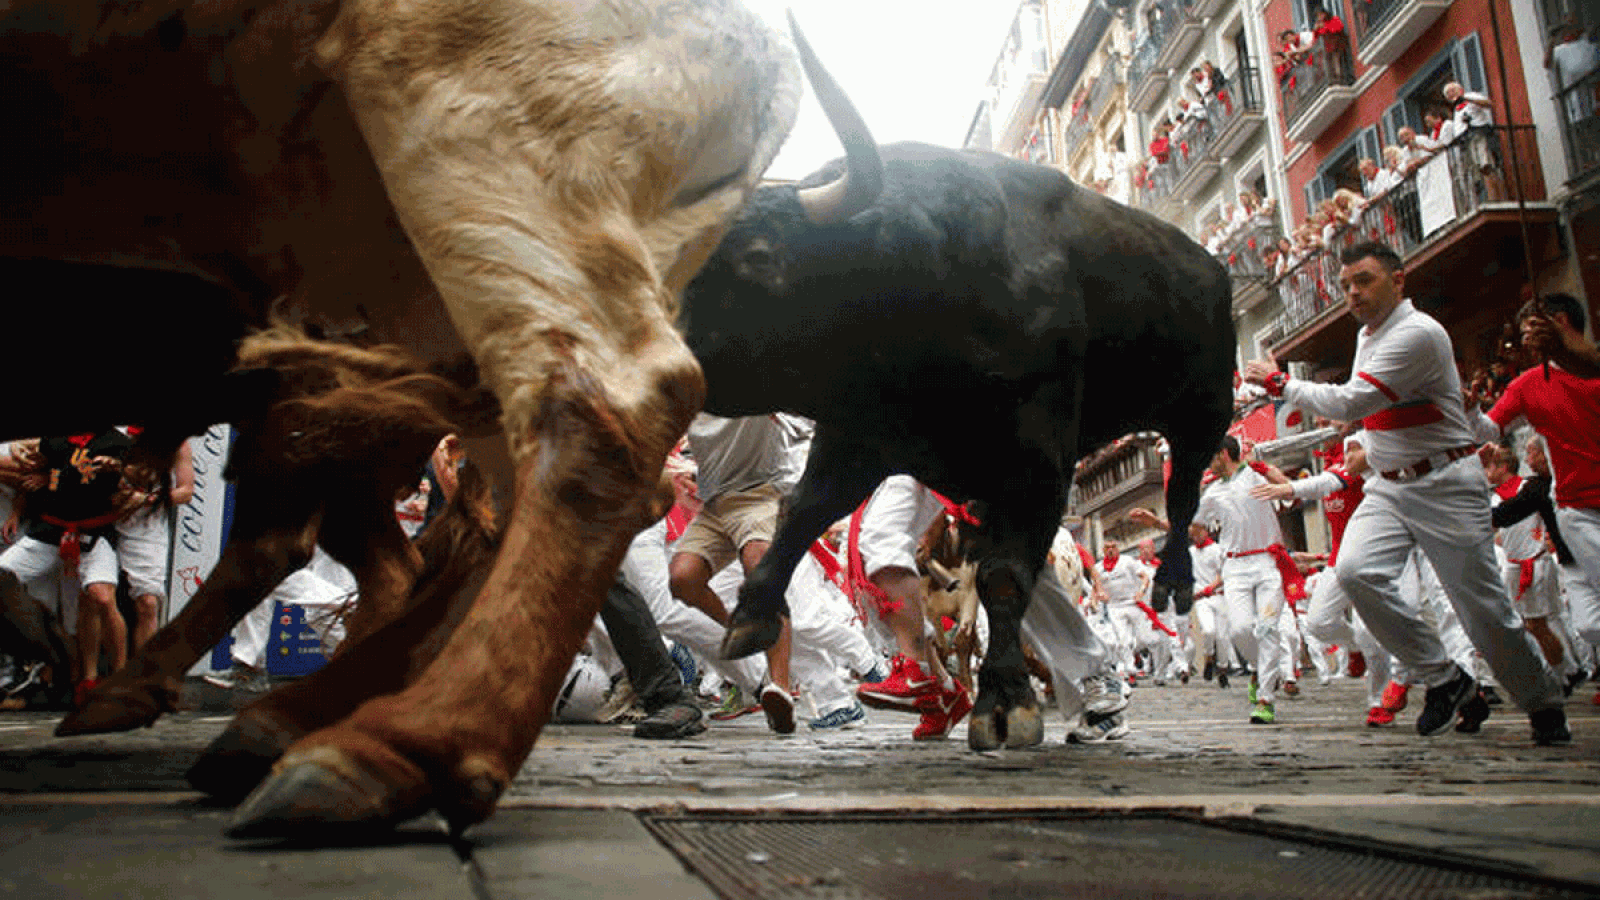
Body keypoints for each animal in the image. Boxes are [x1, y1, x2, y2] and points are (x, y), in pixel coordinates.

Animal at [688, 138, 1235, 743]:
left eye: (760, 257)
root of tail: (1209, 263)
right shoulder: (858, 436)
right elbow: (800, 512)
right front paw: (749, 617)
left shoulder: (1039, 460)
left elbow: (1004, 580)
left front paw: (1004, 705)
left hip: (1203, 414)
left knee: (1181, 497)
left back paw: (1168, 588)